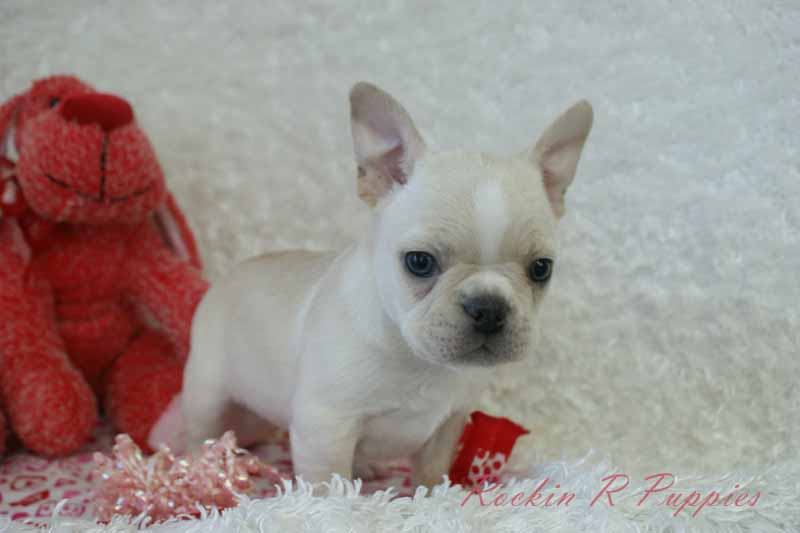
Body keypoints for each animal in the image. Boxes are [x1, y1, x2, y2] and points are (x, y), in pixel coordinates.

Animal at [170, 82, 593, 487]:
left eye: (541, 269)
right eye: (419, 262)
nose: (488, 307)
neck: (414, 356)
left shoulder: (448, 421)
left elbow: (431, 471)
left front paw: (434, 495)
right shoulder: (325, 427)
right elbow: (327, 486)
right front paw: (334, 506)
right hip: (208, 389)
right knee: (200, 431)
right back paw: (199, 468)